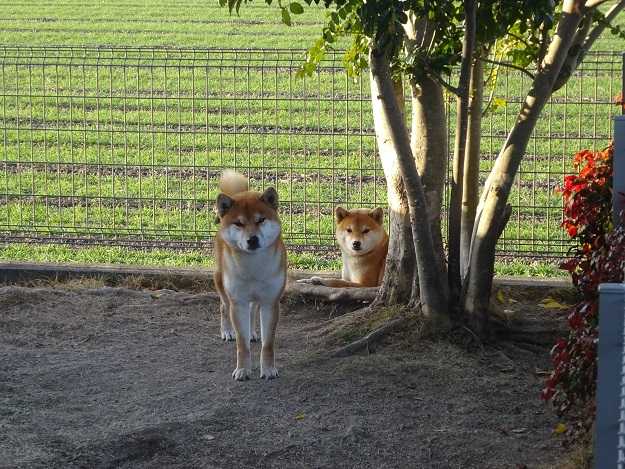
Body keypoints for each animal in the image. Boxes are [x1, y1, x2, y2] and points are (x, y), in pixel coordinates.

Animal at [213, 170, 286, 381]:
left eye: (260, 220)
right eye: (238, 223)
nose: (252, 239)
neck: (253, 267)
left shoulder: (271, 302)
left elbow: (268, 344)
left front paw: (268, 369)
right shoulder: (238, 302)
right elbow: (241, 344)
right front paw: (243, 370)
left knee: (253, 309)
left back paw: (253, 332)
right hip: (221, 281)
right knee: (223, 306)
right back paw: (227, 331)